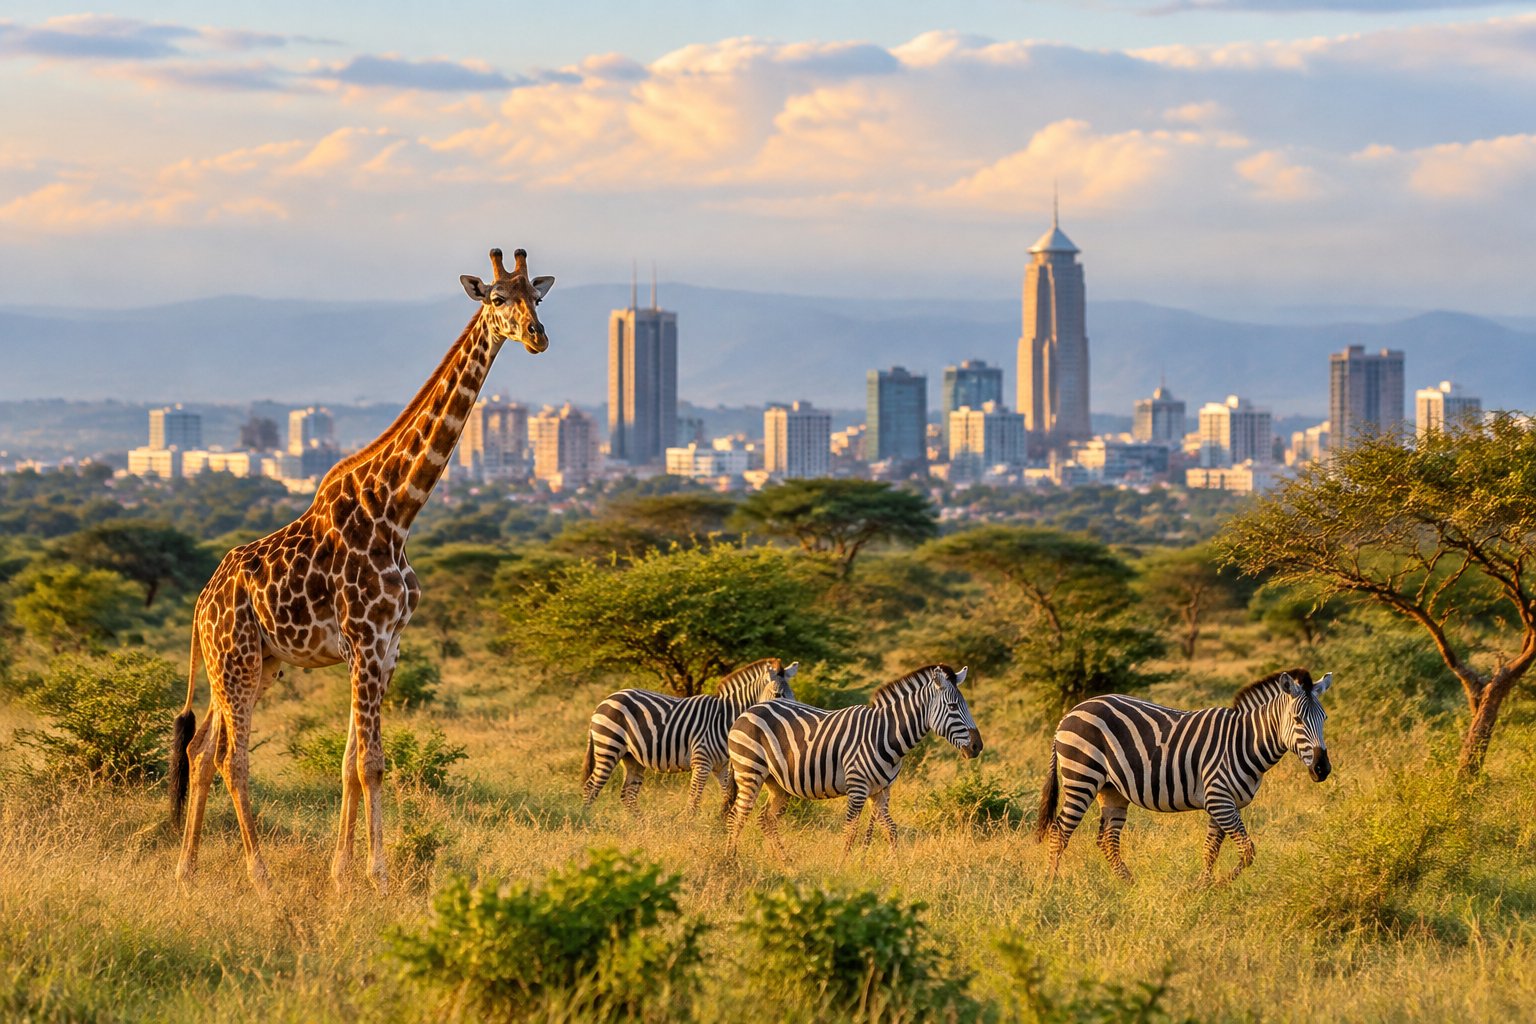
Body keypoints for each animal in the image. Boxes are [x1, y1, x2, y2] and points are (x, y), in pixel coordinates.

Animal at [168, 248, 555, 894]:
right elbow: (372, 763)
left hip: (254, 665)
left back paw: (186, 869)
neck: (397, 511)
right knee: (230, 759)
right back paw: (260, 875)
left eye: (539, 296)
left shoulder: (388, 646)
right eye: (498, 298)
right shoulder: (367, 641)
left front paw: (341, 871)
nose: (537, 336)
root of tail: (201, 605)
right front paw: (377, 875)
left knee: (199, 751)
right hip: (237, 660)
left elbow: (352, 763)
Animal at [581, 658, 798, 816]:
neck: (726, 718)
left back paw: (640, 825)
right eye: (778, 695)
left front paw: (720, 823)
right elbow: (694, 800)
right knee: (591, 786)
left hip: (632, 757)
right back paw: (585, 820)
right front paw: (689, 826)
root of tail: (605, 700)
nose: (791, 712)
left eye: (793, 695)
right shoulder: (701, 761)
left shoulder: (721, 766)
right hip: (609, 746)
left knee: (628, 794)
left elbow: (727, 795)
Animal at [726, 664, 982, 854]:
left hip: (776, 783)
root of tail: (748, 710)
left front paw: (895, 869)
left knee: (765, 819)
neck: (884, 734)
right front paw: (842, 869)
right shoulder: (858, 788)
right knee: (736, 817)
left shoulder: (881, 791)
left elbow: (891, 830)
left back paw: (786, 864)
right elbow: (850, 833)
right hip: (749, 771)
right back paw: (730, 862)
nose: (977, 746)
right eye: (952, 706)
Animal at [1035, 668, 1333, 883]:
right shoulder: (1219, 799)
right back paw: (1051, 884)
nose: (1322, 769)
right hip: (1081, 777)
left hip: (1111, 790)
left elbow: (1211, 849)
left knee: (1107, 839)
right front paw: (1220, 884)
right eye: (1297, 720)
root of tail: (1069, 714)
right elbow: (1248, 851)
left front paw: (1203, 887)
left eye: (1325, 719)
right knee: (1060, 830)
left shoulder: (1225, 803)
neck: (1244, 741)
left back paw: (1129, 885)